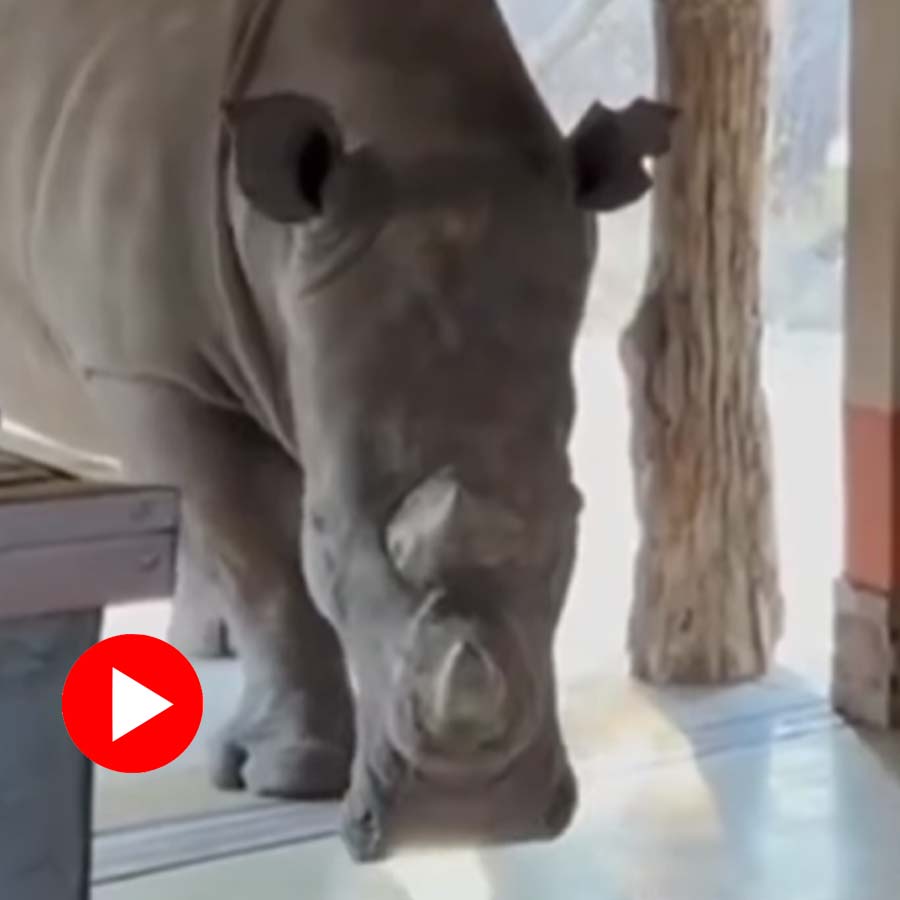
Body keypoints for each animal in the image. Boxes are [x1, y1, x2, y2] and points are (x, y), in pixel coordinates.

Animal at [0, 0, 674, 861]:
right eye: (324, 534)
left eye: (575, 523)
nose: (471, 820)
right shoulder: (145, 366)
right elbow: (258, 559)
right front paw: (291, 778)